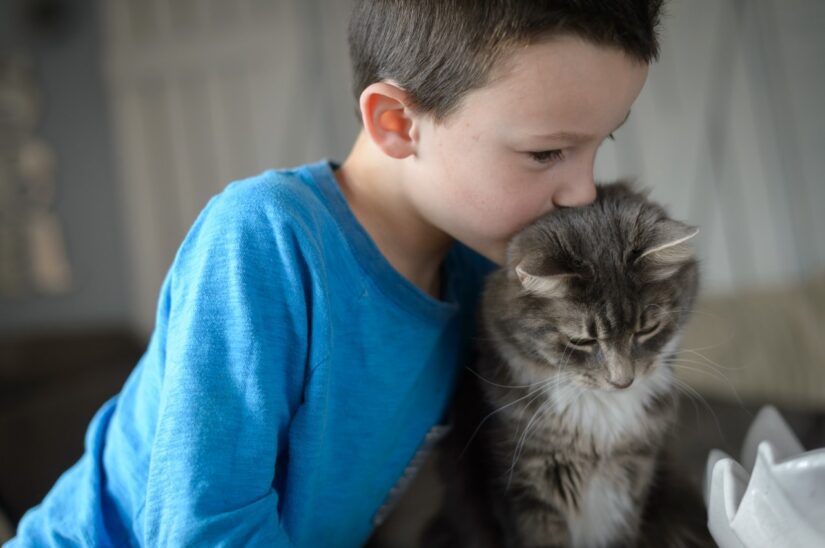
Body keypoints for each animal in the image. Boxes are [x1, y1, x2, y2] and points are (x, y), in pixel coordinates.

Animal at [422, 181, 712, 548]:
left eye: (647, 330)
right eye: (582, 341)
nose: (623, 381)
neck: (599, 422)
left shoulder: (633, 477)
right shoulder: (526, 487)